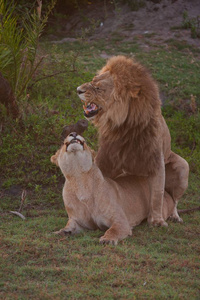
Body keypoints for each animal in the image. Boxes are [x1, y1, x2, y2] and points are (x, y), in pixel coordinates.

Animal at [51, 132, 180, 245]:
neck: (79, 179)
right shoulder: (78, 221)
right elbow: (69, 225)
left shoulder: (121, 221)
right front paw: (61, 231)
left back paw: (174, 217)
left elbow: (112, 230)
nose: (73, 133)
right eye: (63, 144)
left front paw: (107, 239)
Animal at [76, 55, 189, 226]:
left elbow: (157, 195)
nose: (78, 90)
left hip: (183, 166)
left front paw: (157, 221)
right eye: (93, 79)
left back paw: (174, 216)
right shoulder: (106, 158)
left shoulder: (155, 160)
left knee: (173, 199)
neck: (125, 126)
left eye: (98, 88)